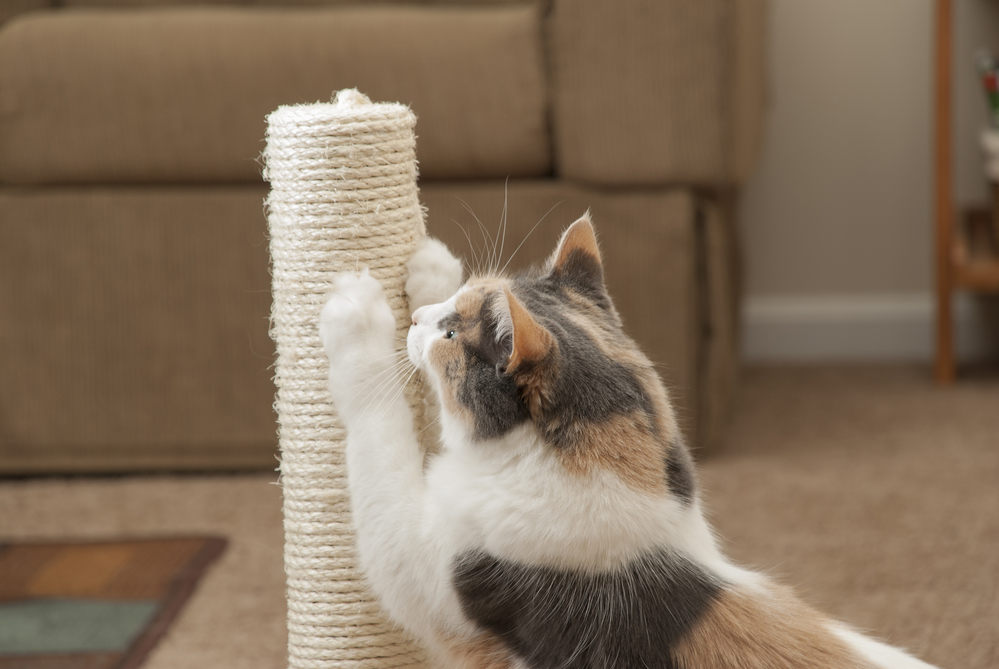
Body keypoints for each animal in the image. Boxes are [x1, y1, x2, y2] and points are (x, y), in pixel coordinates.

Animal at [320, 213, 936, 668]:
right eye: (456, 305)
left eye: (451, 335)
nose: (419, 319)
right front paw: (432, 266)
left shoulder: (421, 567)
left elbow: (378, 429)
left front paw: (356, 316)